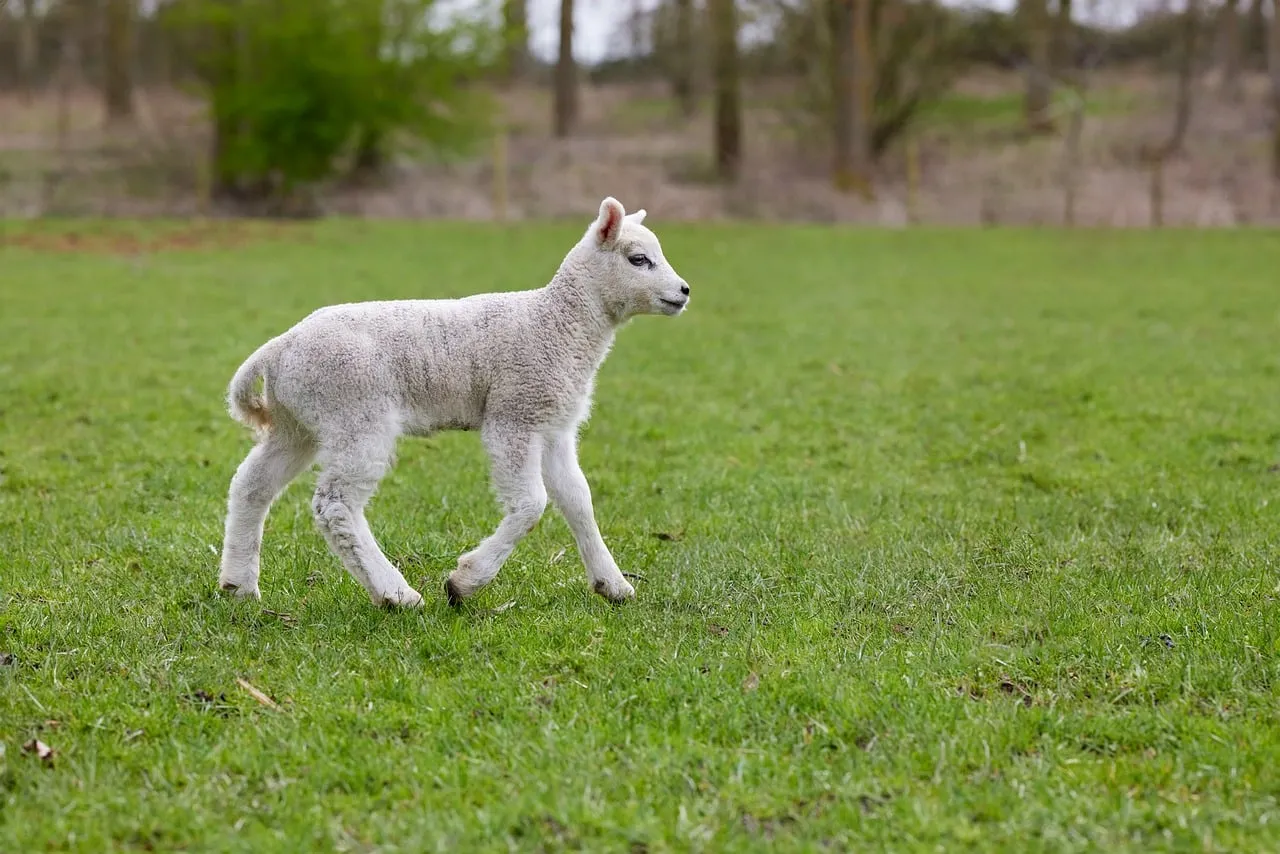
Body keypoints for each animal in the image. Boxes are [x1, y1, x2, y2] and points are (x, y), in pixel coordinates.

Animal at [216, 196, 691, 609]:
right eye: (638, 259)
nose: (684, 291)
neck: (558, 323)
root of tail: (279, 347)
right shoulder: (514, 414)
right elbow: (531, 503)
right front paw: (464, 581)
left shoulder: (554, 423)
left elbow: (578, 500)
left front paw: (612, 585)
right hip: (356, 412)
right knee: (335, 505)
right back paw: (396, 594)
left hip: (300, 422)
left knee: (251, 484)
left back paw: (239, 586)